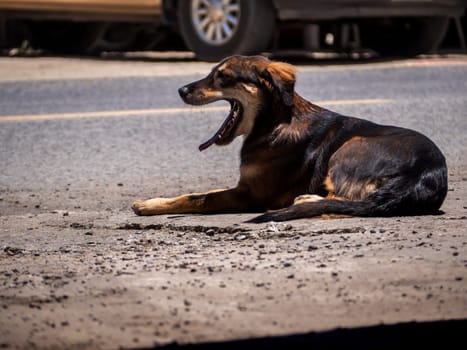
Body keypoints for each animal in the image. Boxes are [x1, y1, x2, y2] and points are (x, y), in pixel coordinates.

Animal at [133, 56, 450, 223]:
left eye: (223, 77)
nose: (181, 90)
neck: (273, 123)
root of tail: (421, 174)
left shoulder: (249, 194)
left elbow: (198, 197)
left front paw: (151, 205)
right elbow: (201, 191)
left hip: (351, 146)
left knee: (345, 201)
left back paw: (307, 199)